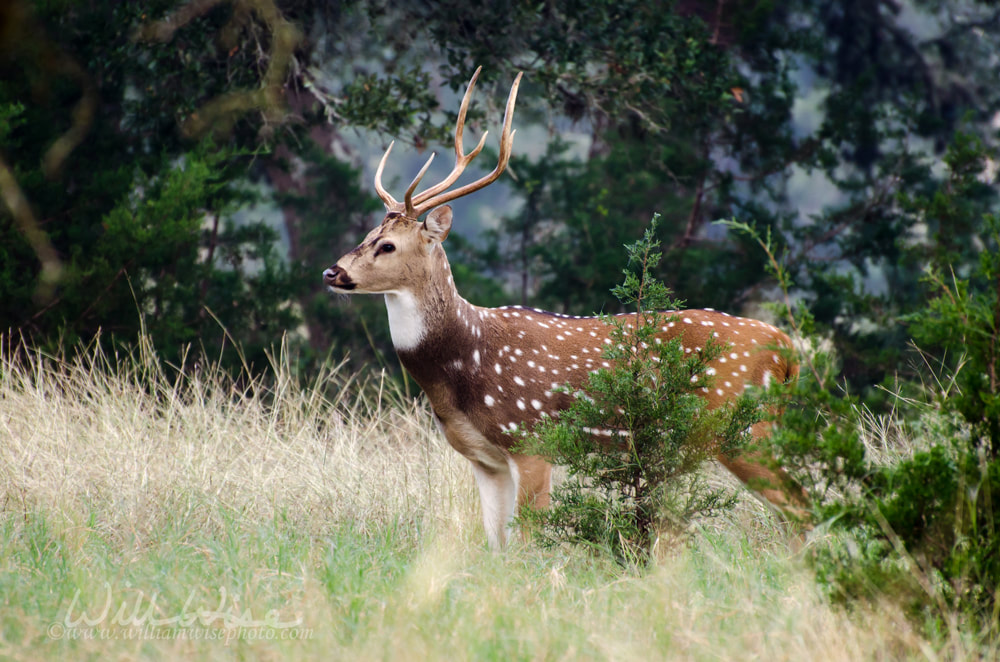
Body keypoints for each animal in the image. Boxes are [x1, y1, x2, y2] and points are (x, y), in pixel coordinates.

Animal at [324, 66, 808, 548]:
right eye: (367, 235)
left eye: (387, 245)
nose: (332, 272)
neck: (463, 361)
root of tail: (788, 350)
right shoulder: (484, 457)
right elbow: (495, 543)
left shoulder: (532, 438)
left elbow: (529, 537)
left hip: (742, 426)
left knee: (799, 505)